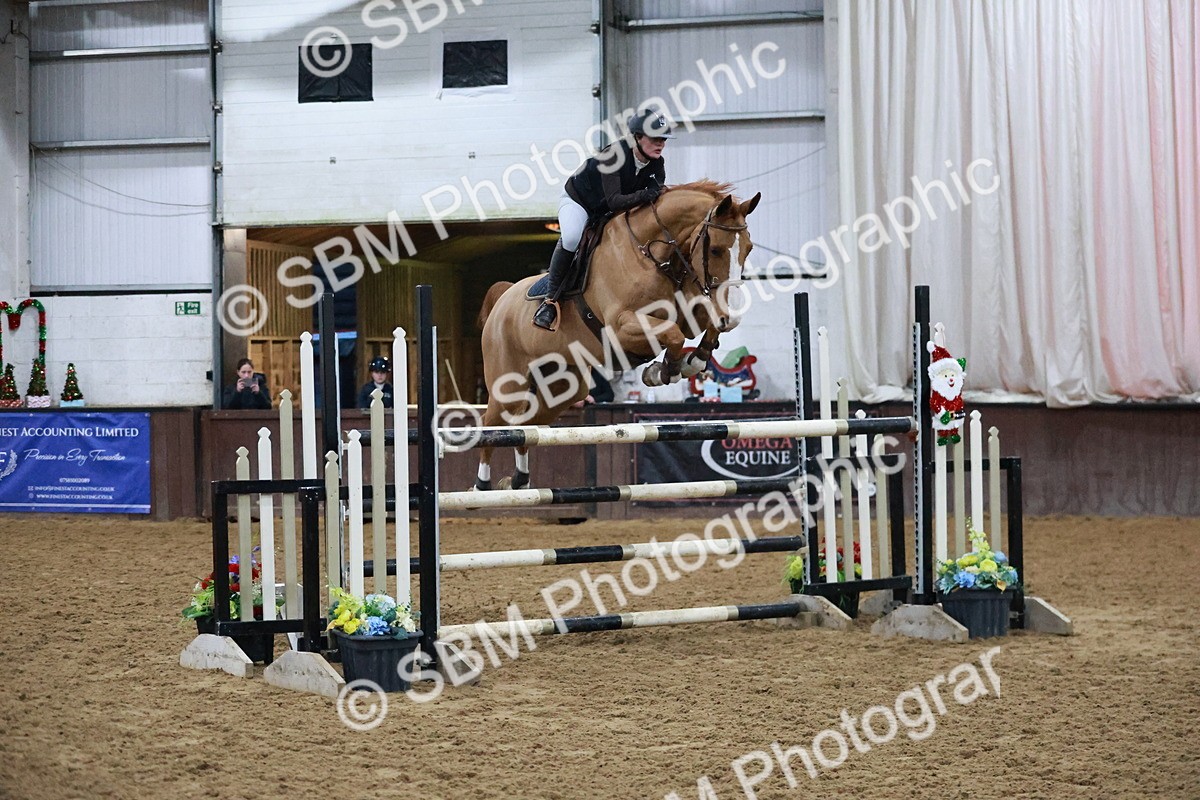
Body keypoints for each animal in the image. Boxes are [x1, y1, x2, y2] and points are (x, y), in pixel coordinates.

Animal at [473, 180, 761, 490]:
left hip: (562, 387)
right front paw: (664, 371)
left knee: (526, 424)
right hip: (507, 385)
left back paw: (519, 481)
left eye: (749, 248)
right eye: (716, 250)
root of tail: (502, 299)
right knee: (491, 424)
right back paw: (482, 485)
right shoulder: (622, 326)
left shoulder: (686, 314)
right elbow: (673, 335)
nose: (732, 316)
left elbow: (702, 328)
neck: (652, 255)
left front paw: (690, 362)